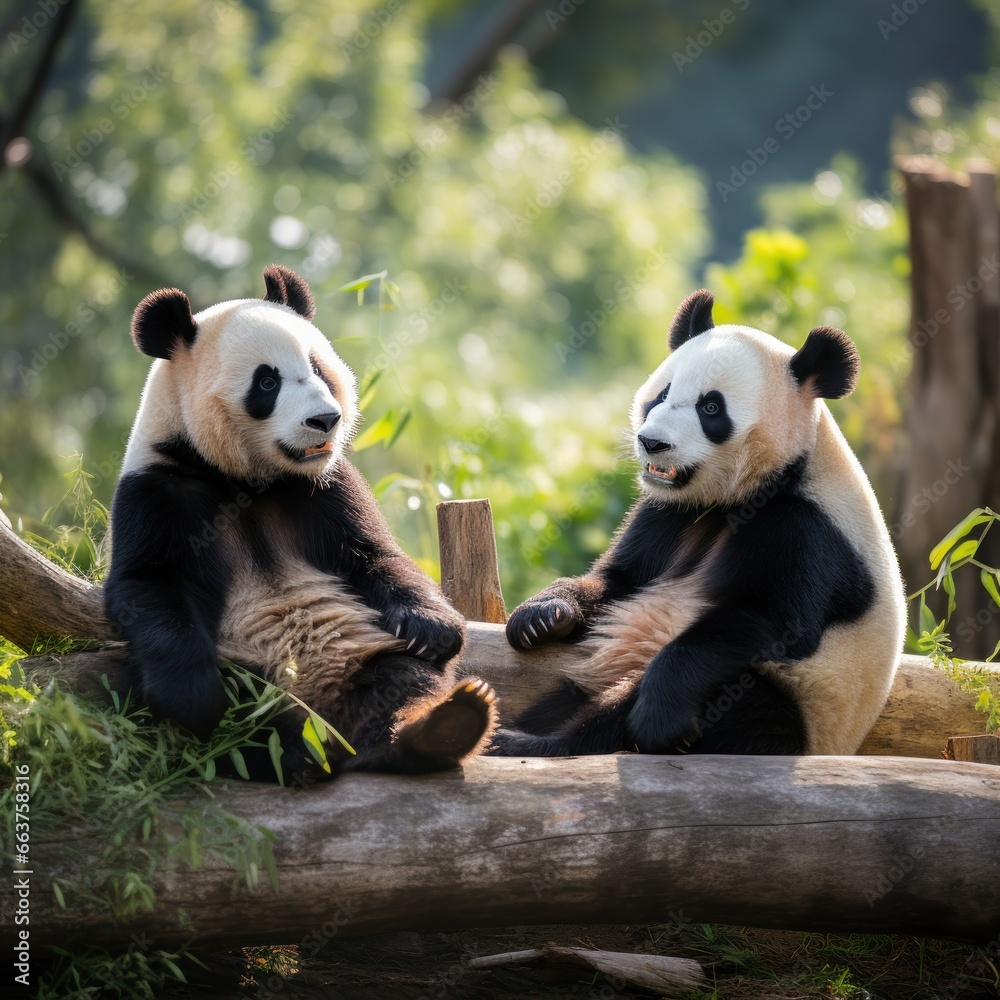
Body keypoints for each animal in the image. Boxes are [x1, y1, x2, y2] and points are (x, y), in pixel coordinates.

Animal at [105, 264, 496, 780]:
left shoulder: (325, 487)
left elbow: (373, 555)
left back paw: (440, 726)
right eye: (266, 383)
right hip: (252, 670)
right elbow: (146, 584)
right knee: (245, 720)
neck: (242, 479)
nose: (325, 419)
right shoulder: (157, 492)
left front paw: (432, 629)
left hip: (365, 650)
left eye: (318, 369)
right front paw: (194, 695)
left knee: (402, 680)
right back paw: (294, 755)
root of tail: (329, 723)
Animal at [496, 290, 912, 756]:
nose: (652, 442)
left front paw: (657, 717)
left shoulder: (809, 531)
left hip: (802, 705)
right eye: (661, 395)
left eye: (711, 408)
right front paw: (542, 616)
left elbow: (767, 620)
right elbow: (620, 577)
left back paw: (539, 741)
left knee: (728, 703)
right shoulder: (671, 513)